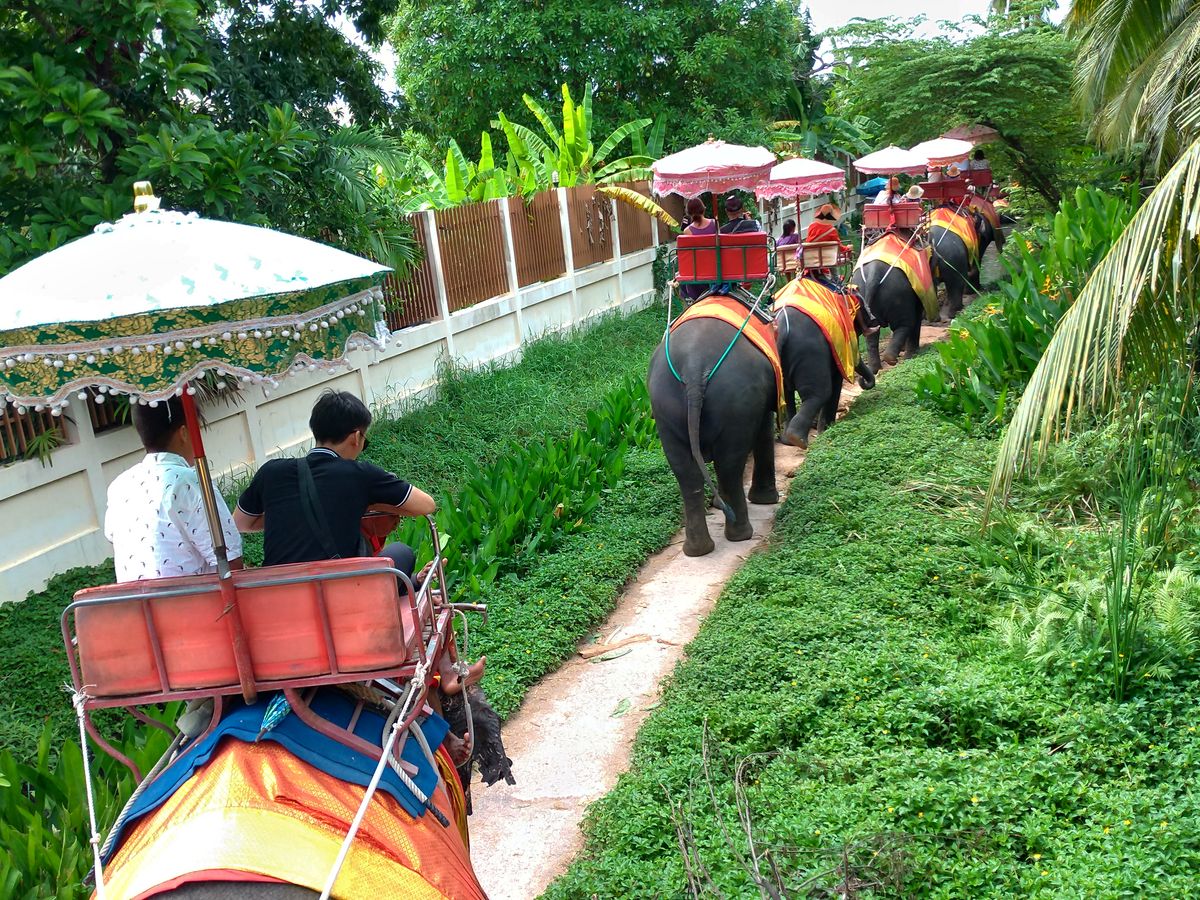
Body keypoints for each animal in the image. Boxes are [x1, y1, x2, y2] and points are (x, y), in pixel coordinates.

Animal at [648, 316, 779, 557]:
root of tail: (693, 365)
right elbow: (765, 426)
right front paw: (766, 500)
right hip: (736, 401)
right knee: (729, 465)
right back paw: (740, 534)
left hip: (663, 405)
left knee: (686, 473)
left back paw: (697, 548)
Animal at [775, 299, 876, 449]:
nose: (862, 381)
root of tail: (781, 326)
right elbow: (836, 381)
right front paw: (827, 429)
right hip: (810, 355)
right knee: (820, 393)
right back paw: (799, 439)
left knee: (787, 395)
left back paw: (788, 440)